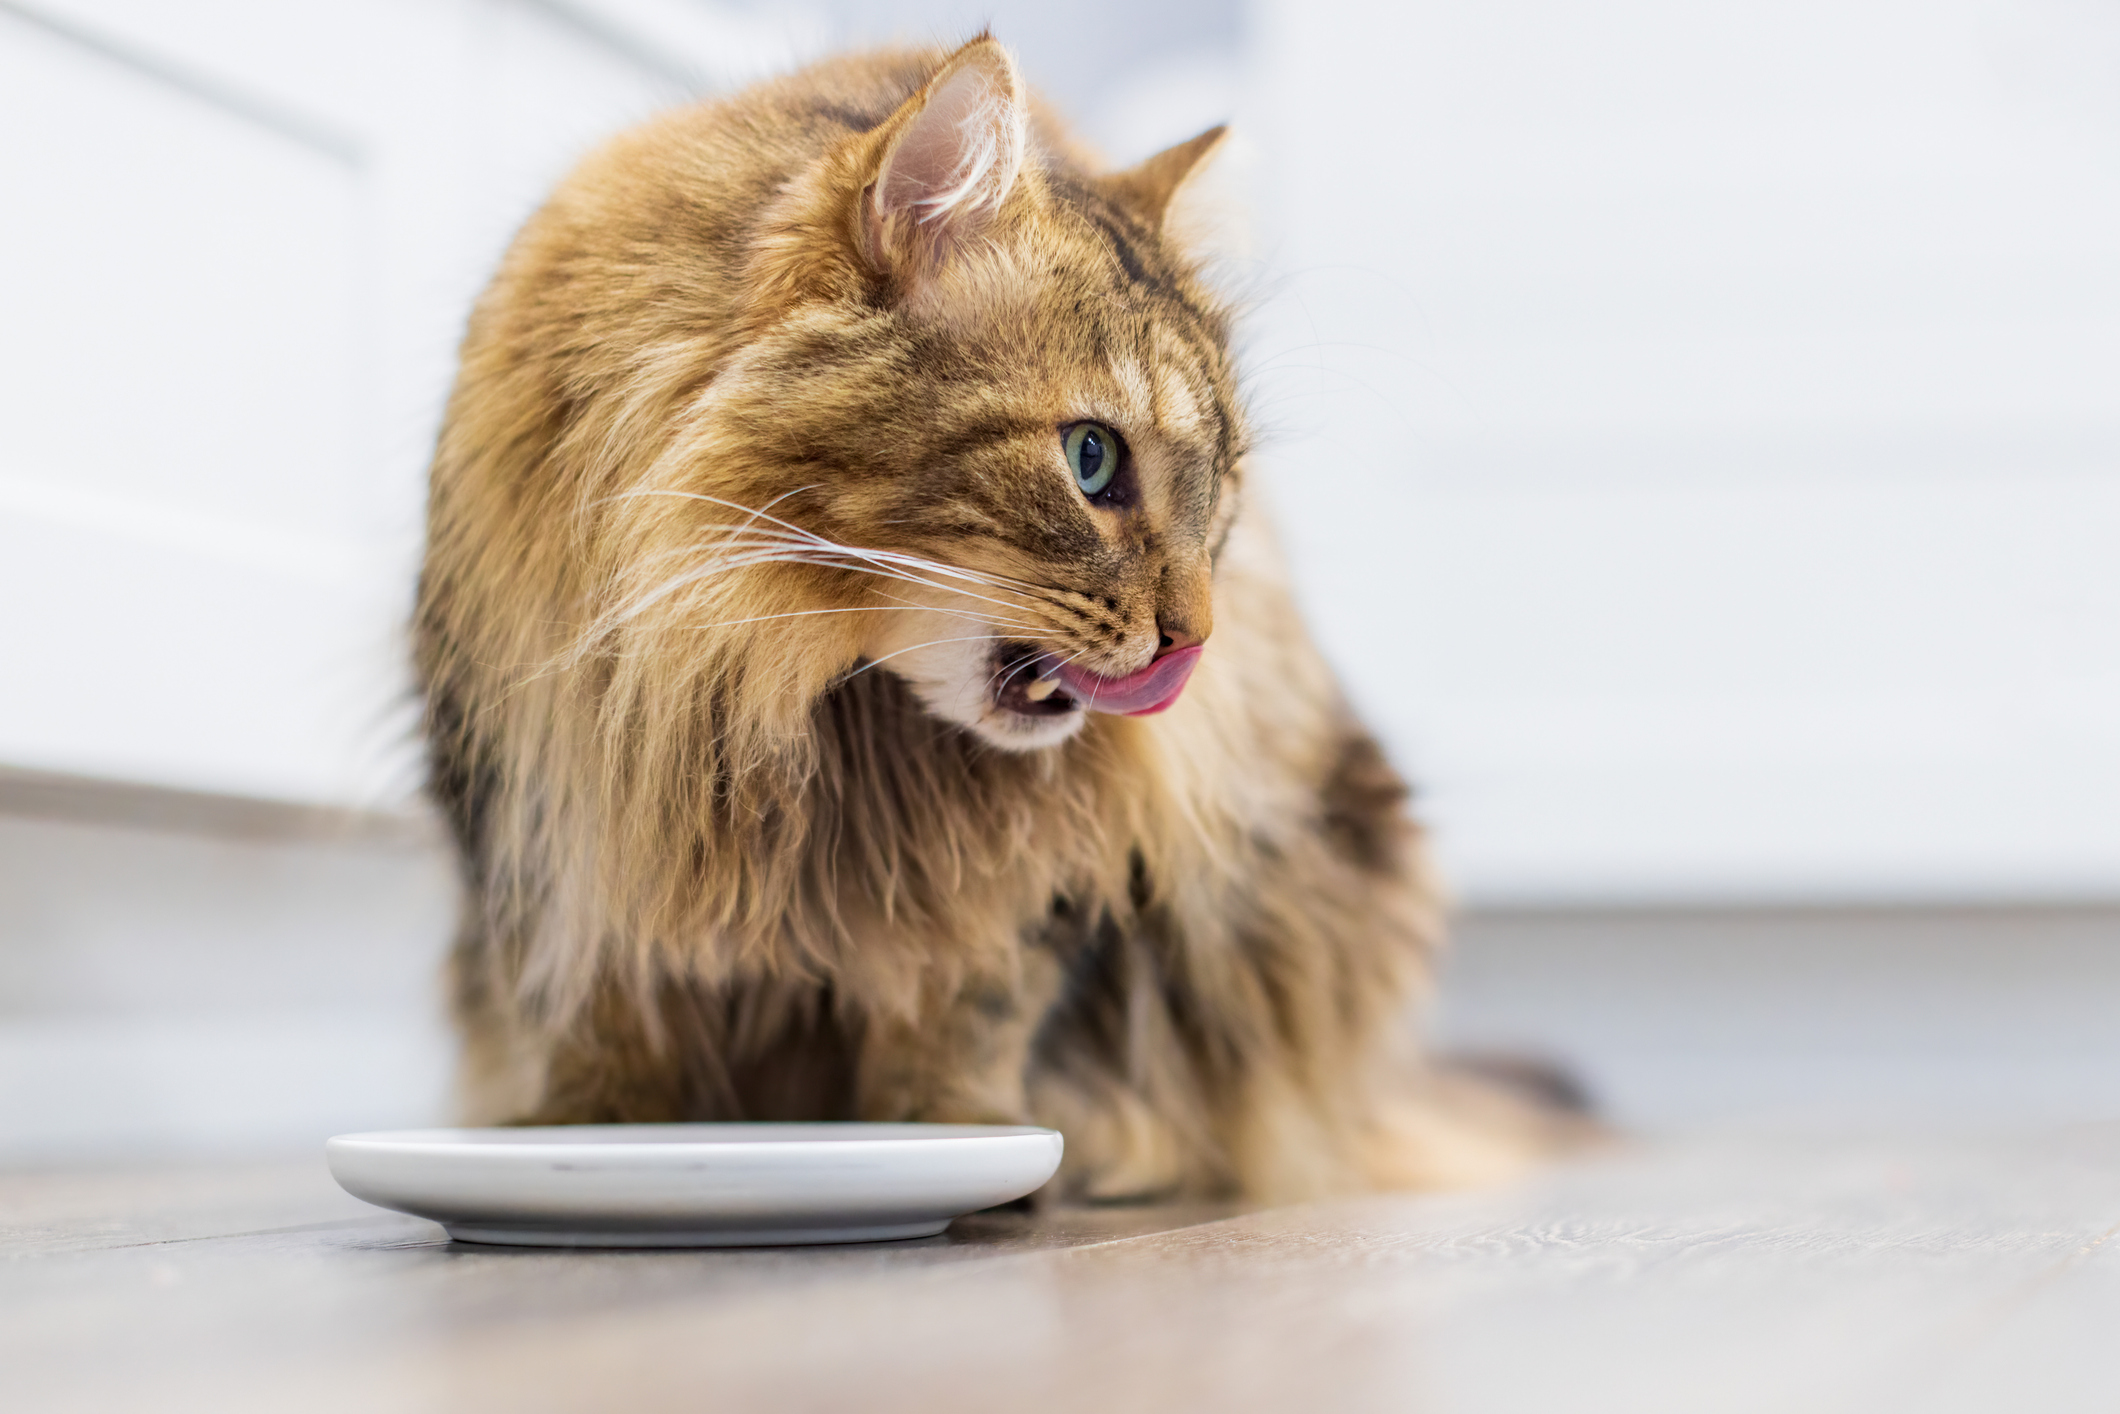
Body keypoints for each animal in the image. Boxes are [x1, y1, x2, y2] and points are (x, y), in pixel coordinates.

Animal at [417, 33, 1577, 1204]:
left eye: (1225, 492)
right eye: (1091, 459)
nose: (1196, 639)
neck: (792, 694)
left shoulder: (1038, 892)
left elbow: (964, 1028)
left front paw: (955, 1142)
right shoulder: (554, 824)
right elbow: (595, 1024)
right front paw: (586, 1138)